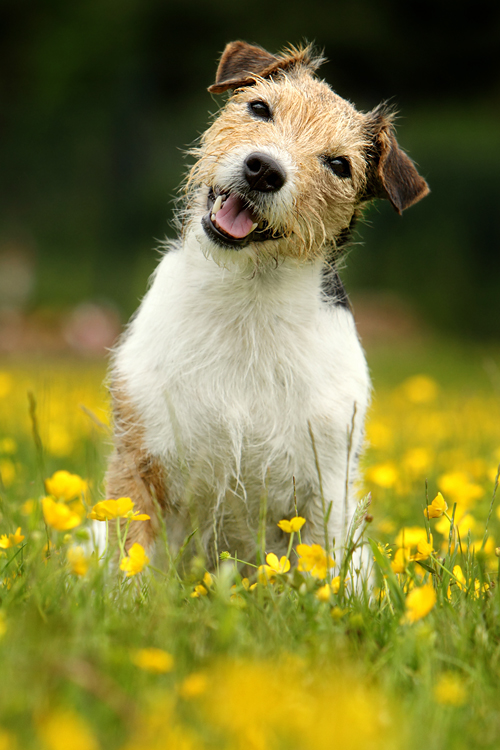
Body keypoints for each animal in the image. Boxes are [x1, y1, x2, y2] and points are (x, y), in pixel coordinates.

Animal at [106, 41, 430, 572]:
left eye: (339, 165)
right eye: (260, 108)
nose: (264, 170)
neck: (247, 296)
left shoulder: (326, 487)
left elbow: (322, 569)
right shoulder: (139, 458)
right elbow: (125, 558)